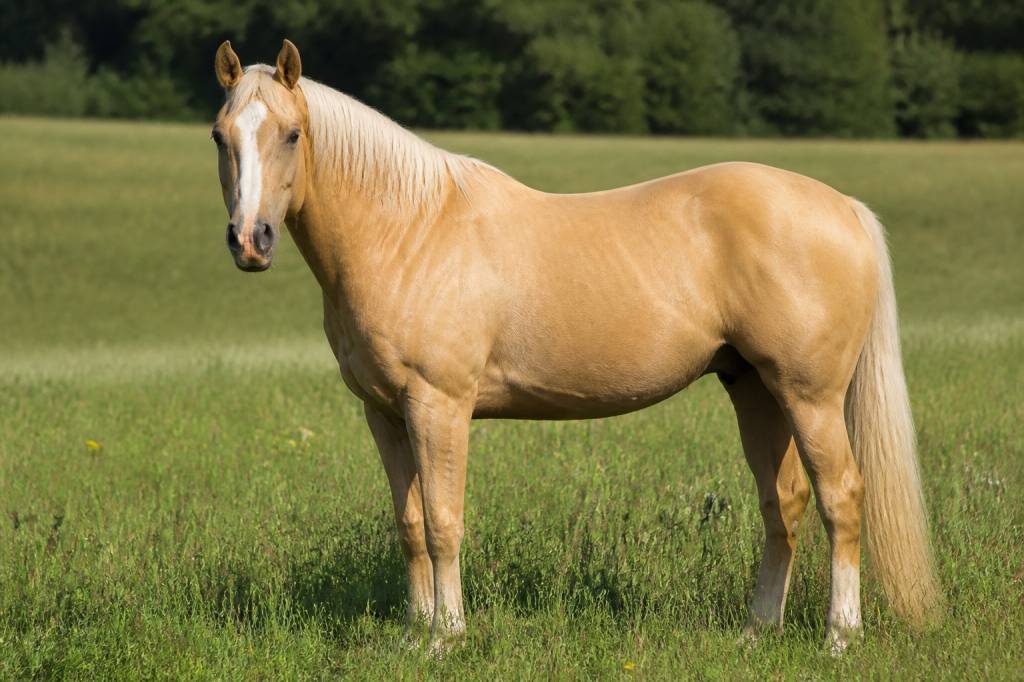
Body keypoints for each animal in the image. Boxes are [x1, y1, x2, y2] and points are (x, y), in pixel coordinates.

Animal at [210, 39, 940, 653]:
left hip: (810, 396)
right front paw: (416, 635)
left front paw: (448, 637)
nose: (250, 241)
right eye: (221, 136)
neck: (410, 229)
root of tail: (843, 207)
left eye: (292, 134)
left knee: (842, 496)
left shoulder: (438, 406)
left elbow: (445, 521)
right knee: (782, 503)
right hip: (756, 388)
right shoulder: (385, 413)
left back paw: (839, 637)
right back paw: (758, 631)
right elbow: (411, 525)